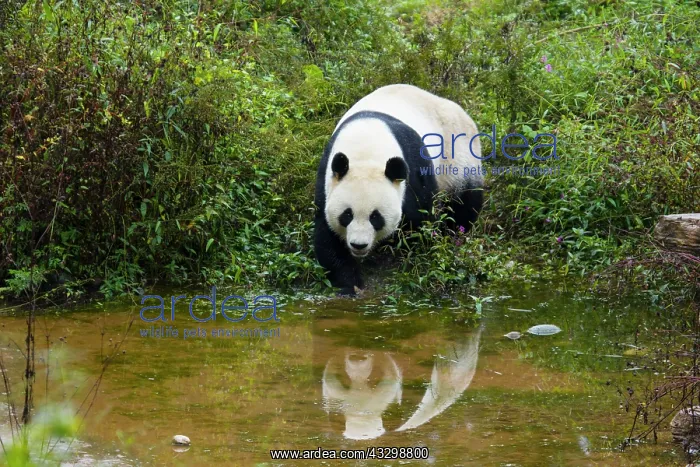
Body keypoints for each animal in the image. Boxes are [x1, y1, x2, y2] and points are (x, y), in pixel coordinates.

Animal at [314, 84, 484, 295]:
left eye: (375, 217)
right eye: (347, 215)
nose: (358, 245)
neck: (365, 146)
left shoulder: (414, 170)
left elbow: (421, 222)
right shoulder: (327, 176)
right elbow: (327, 235)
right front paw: (351, 284)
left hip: (459, 157)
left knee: (464, 202)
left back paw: (457, 234)